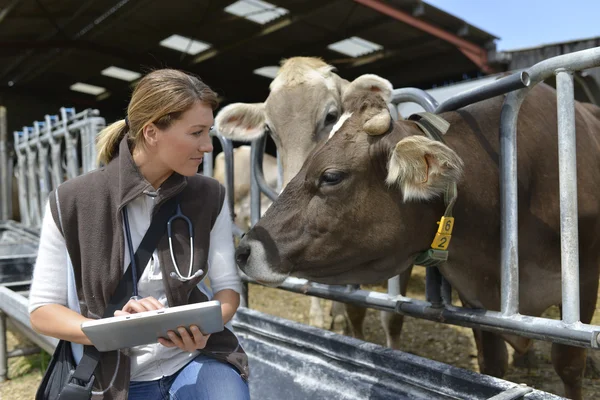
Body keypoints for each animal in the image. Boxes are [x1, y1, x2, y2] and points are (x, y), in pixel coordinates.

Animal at [234, 83, 600, 398]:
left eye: (331, 176)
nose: (243, 250)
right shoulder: (477, 297)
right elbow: (492, 365)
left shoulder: (582, 281)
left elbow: (569, 365)